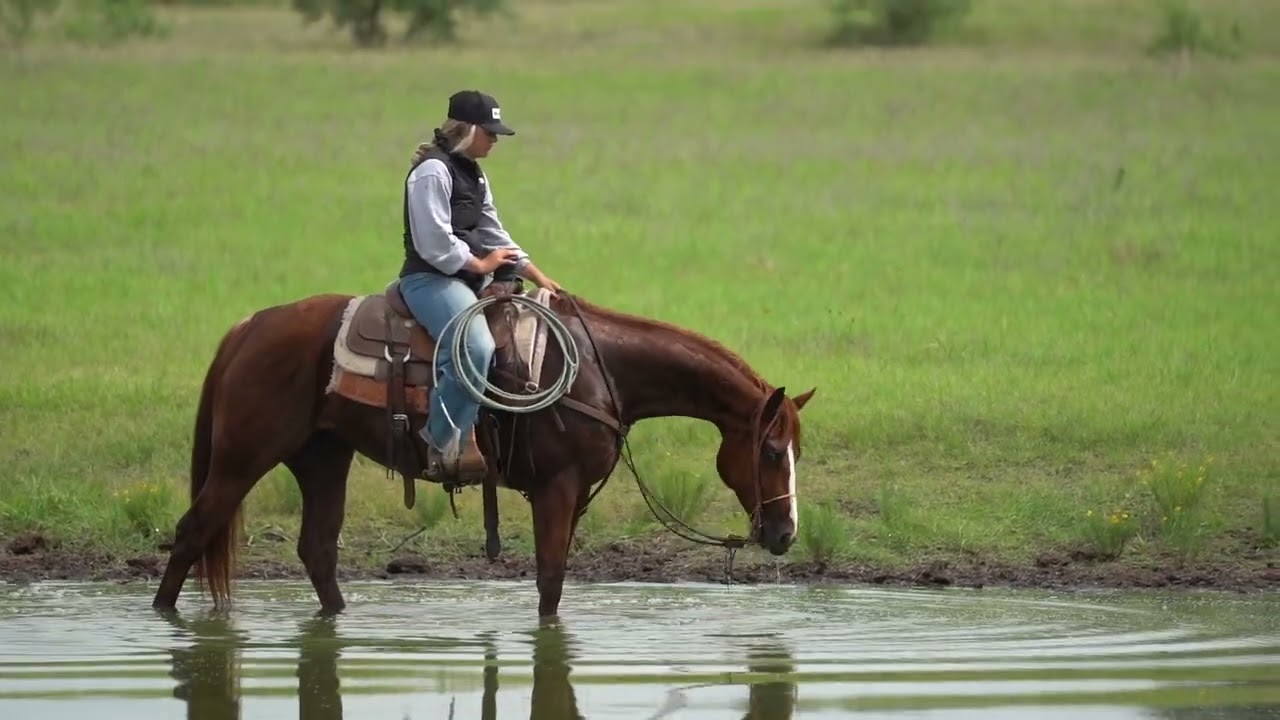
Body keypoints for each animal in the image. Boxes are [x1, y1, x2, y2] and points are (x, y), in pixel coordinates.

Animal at [150, 277, 816, 619]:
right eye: (769, 451)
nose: (785, 533)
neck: (599, 368)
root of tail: (249, 327)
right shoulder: (556, 489)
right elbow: (550, 581)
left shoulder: (573, 496)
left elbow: (555, 576)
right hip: (242, 457)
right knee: (192, 532)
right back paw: (162, 617)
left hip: (322, 458)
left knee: (317, 550)